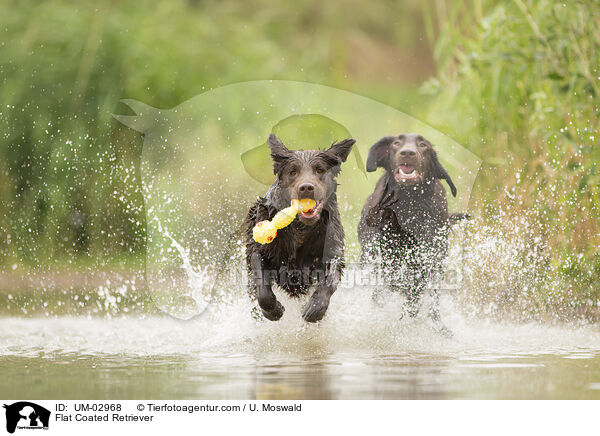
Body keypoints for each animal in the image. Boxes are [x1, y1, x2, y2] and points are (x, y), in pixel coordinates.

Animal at [245, 135, 356, 322]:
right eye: (293, 172)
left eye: (319, 170)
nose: (306, 187)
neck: (301, 229)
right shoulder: (259, 249)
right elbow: (262, 284)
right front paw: (273, 311)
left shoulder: (332, 249)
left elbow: (330, 279)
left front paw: (315, 309)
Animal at [356, 133, 460, 334]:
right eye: (397, 143)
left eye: (423, 145)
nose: (407, 153)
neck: (407, 205)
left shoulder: (428, 259)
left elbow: (415, 292)